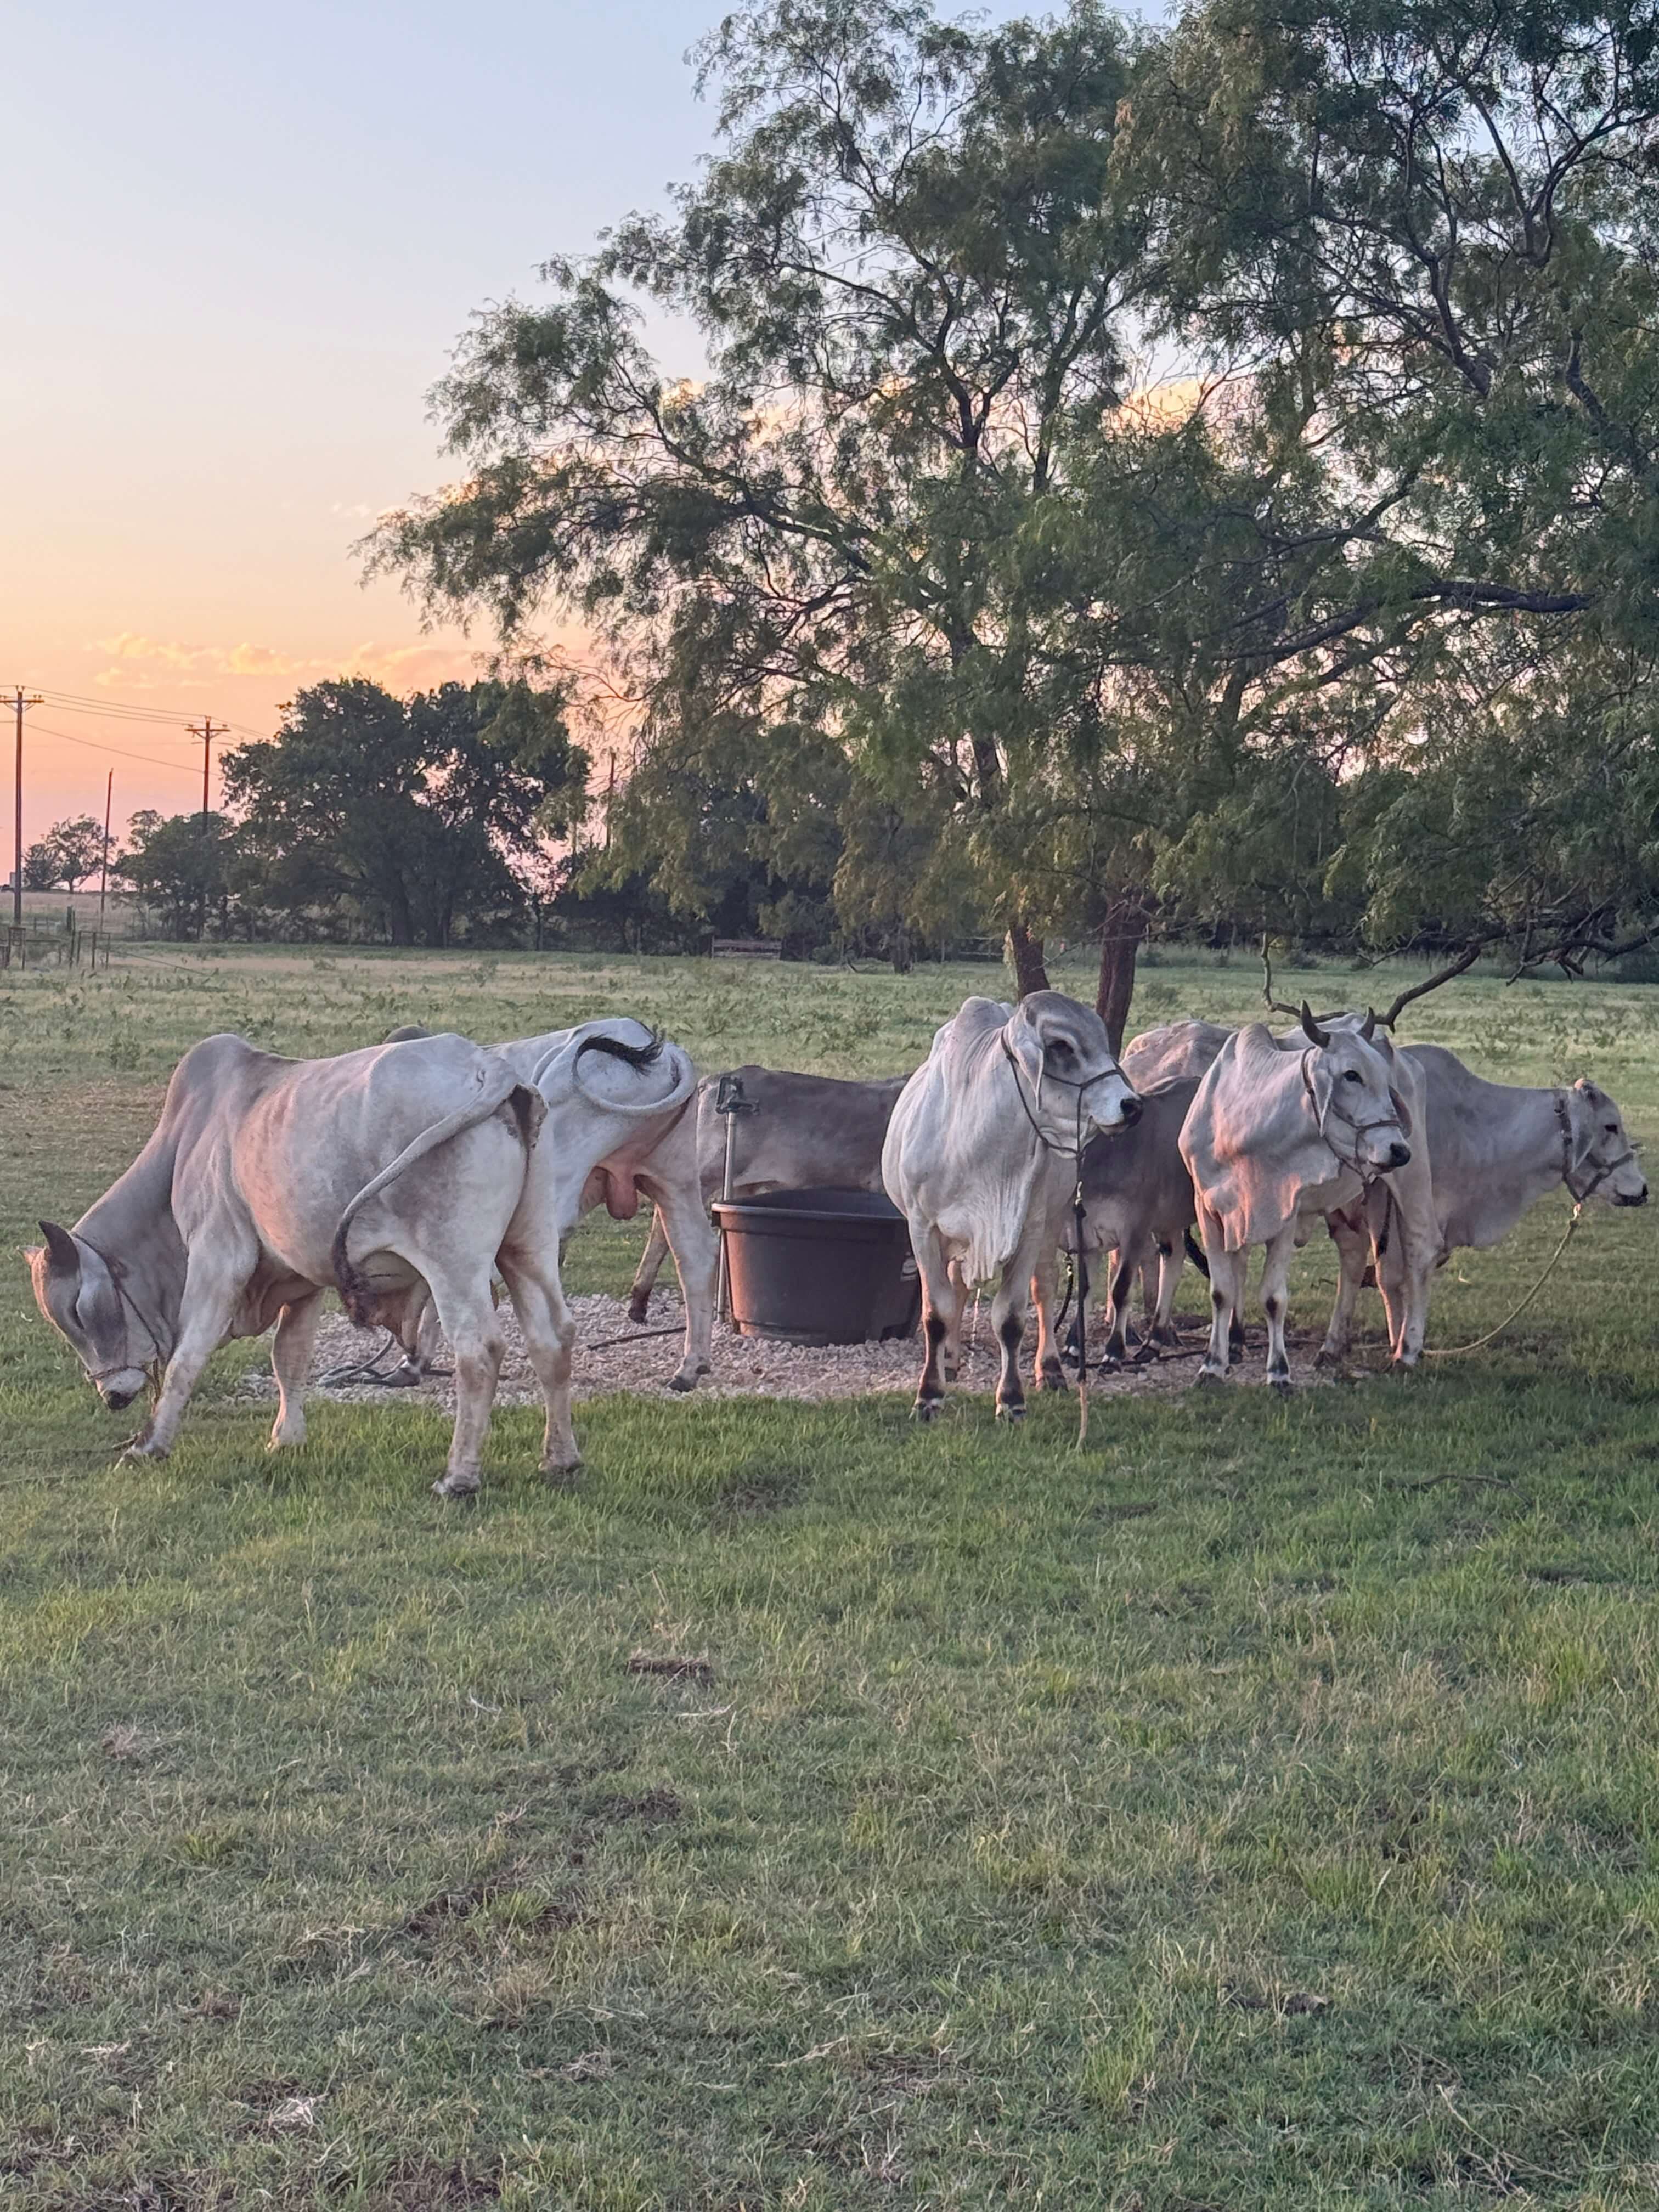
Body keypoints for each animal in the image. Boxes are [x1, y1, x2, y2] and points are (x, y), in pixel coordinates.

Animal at [28, 1031, 545, 1492]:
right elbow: (289, 1358)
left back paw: (459, 1478)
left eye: (79, 1311)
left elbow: (186, 1358)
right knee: (550, 1338)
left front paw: (149, 1446)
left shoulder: (219, 1257)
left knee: (479, 1349)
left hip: (453, 1264)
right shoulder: (302, 1282)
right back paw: (555, 1461)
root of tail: (486, 1065)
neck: (182, 1148)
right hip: (525, 1251)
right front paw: (287, 1438)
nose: (112, 1397)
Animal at [883, 992, 1141, 1421]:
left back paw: (1050, 1369)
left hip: (1051, 1223)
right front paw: (929, 1393)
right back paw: (950, 1359)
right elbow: (937, 1313)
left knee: (1045, 1290)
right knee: (958, 1288)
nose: (1132, 1105)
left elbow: (1011, 1317)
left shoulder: (1029, 1228)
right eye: (1061, 1046)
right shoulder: (922, 1228)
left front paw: (1011, 1398)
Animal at [1180, 1007, 1417, 1388]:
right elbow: (1223, 1290)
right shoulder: (1211, 1210)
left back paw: (1405, 1351)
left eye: (1385, 1078)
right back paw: (1332, 1346)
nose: (1398, 1150)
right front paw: (1214, 1364)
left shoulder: (1285, 1214)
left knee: (1414, 1261)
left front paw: (1279, 1372)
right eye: (1352, 1075)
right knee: (1354, 1258)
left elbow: (1274, 1298)